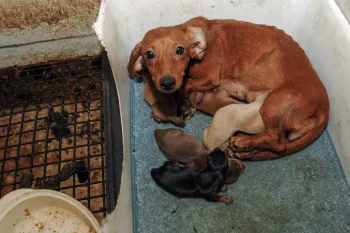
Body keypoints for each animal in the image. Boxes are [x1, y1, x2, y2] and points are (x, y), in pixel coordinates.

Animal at [127, 15, 330, 158]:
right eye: (149, 54)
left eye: (180, 50)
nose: (167, 83)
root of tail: (325, 109)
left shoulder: (209, 77)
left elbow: (186, 87)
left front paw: (182, 102)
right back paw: (245, 150)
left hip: (272, 105)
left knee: (278, 141)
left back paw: (242, 142)